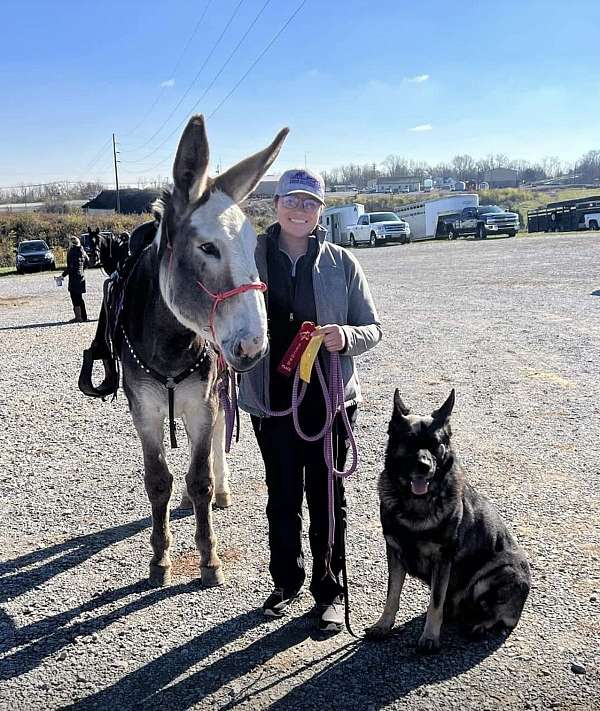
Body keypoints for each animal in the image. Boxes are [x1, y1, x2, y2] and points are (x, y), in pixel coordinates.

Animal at [366, 392, 528, 652]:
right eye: (409, 441)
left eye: (435, 443)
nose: (424, 467)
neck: (417, 502)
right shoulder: (394, 553)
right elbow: (392, 595)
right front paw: (383, 625)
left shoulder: (442, 561)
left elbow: (435, 602)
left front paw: (430, 637)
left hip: (493, 576)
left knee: (503, 618)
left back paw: (479, 625)